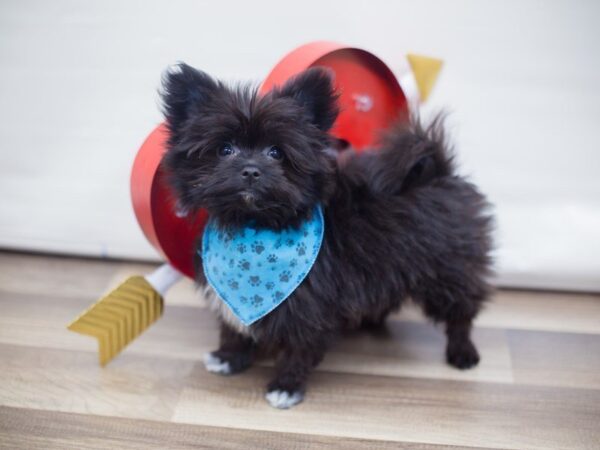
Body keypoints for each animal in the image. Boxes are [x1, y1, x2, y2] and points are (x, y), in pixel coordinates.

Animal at [159, 62, 492, 408]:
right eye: (225, 149)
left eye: (276, 152)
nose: (250, 169)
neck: (255, 226)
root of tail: (438, 172)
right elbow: (233, 328)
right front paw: (228, 357)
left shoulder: (310, 304)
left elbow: (299, 347)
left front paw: (286, 385)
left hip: (447, 271)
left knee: (461, 312)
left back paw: (463, 351)